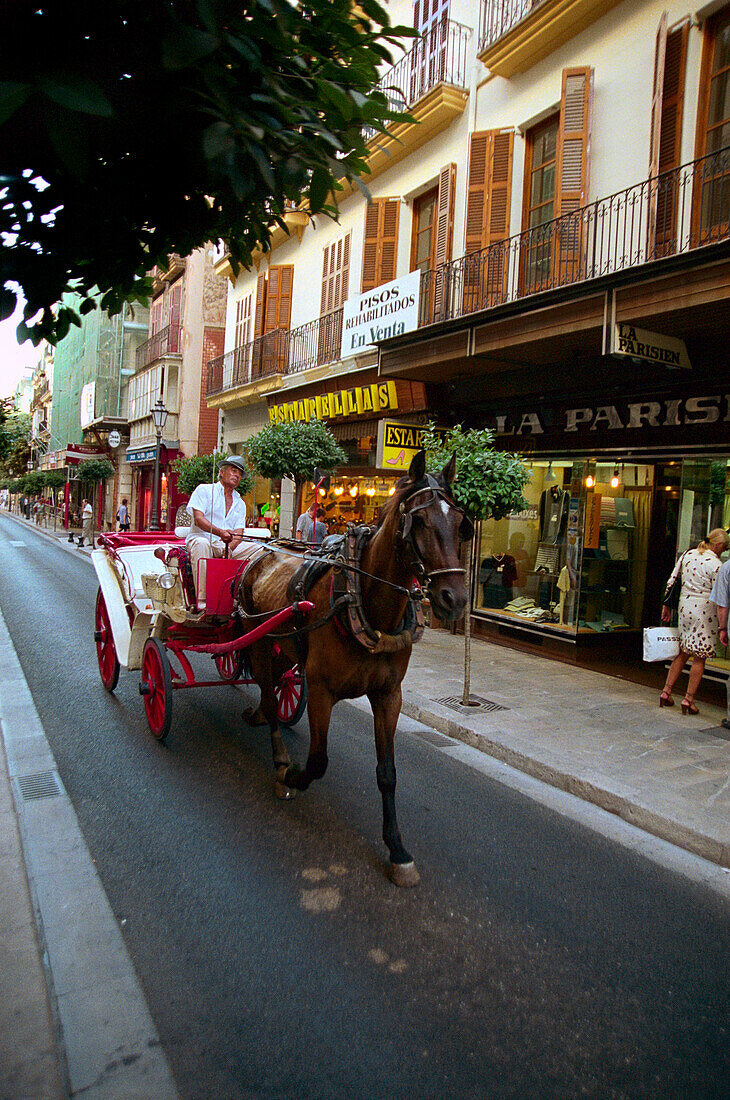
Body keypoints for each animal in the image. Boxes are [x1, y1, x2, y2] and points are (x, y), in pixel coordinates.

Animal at [236, 446, 470, 884]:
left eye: (461, 524)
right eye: (420, 522)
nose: (456, 599)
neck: (363, 603)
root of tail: (261, 549)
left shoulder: (389, 695)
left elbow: (388, 772)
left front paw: (397, 849)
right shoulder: (321, 690)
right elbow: (317, 760)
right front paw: (291, 776)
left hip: (282, 649)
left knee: (273, 686)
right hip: (257, 642)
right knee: (269, 697)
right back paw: (278, 756)